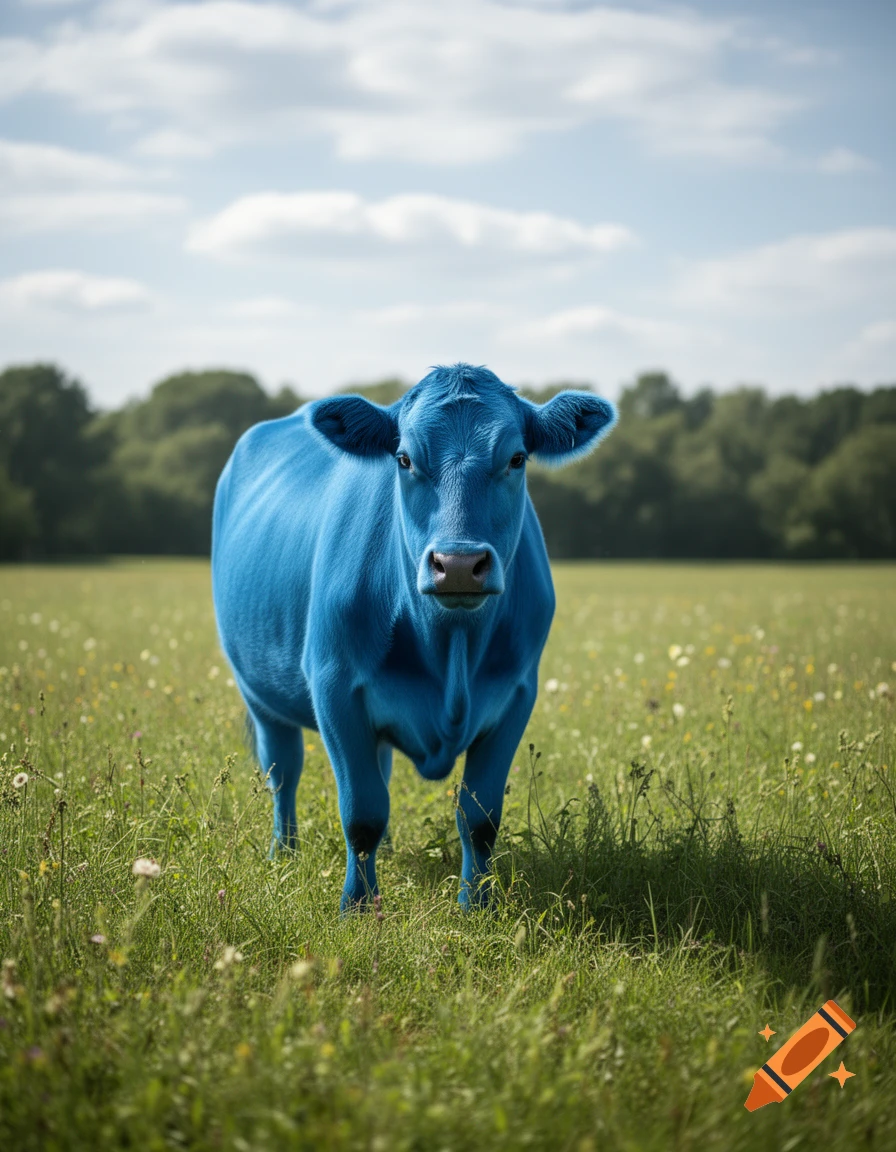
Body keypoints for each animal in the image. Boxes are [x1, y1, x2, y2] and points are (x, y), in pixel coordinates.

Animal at [212, 363, 616, 911]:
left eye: (516, 458)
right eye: (403, 459)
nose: (459, 564)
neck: (450, 651)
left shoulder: (516, 694)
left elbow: (479, 817)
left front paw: (477, 905)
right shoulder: (334, 688)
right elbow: (361, 813)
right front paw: (358, 908)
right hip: (259, 694)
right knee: (283, 773)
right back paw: (284, 854)